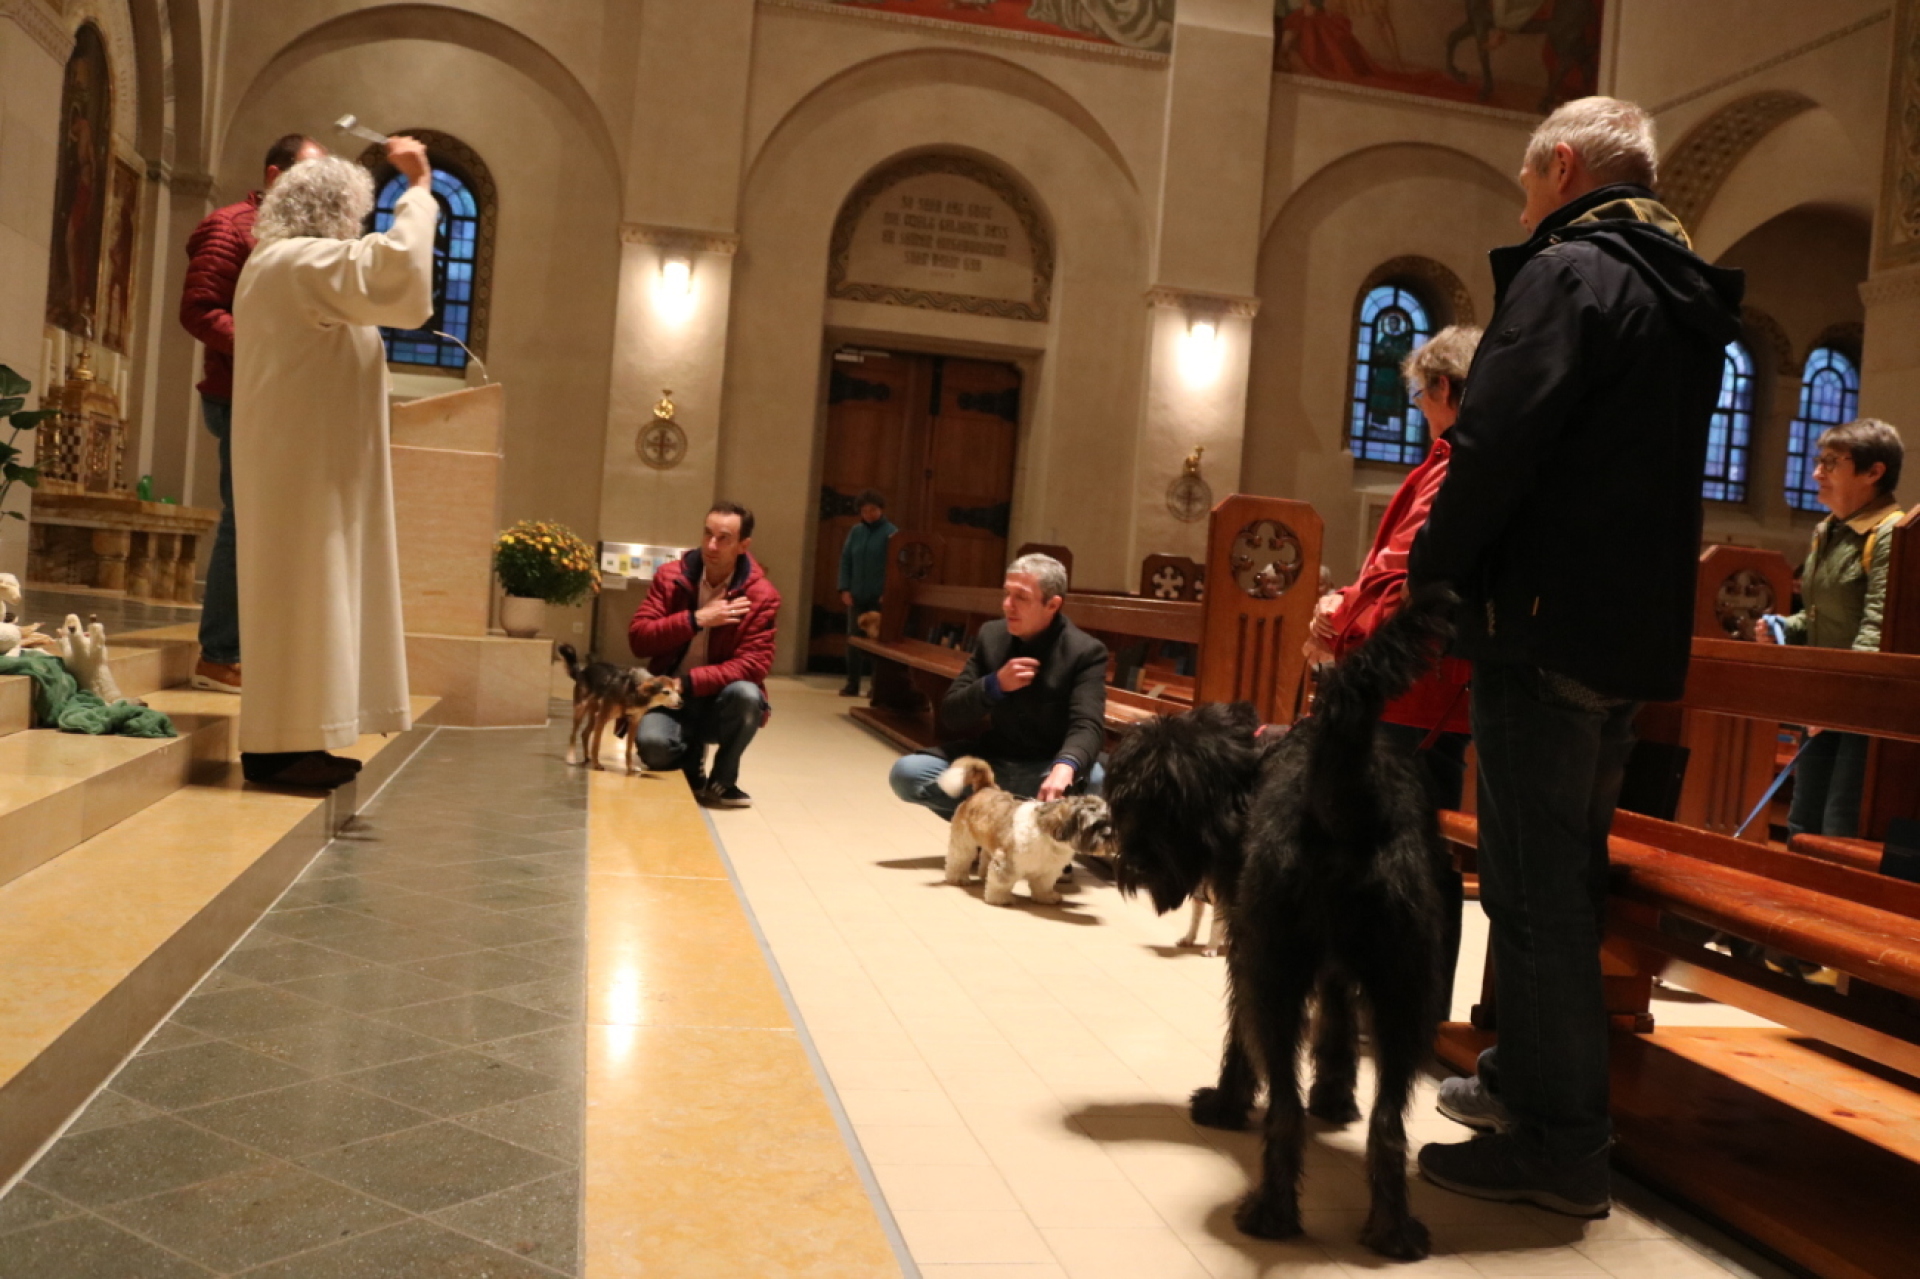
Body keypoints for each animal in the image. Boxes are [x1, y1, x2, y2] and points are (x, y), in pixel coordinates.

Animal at [556, 641, 683, 772]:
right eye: (666, 692)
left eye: (678, 691)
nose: (681, 702)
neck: (634, 690)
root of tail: (582, 672)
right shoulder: (603, 717)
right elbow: (596, 744)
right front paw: (597, 765)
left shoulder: (633, 722)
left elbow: (629, 749)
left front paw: (630, 767)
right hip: (582, 710)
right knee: (573, 734)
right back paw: (571, 757)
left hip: (596, 716)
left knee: (584, 734)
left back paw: (586, 757)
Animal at [940, 756, 1121, 906]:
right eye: (1095, 826)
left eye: (1111, 823)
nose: (1109, 835)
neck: (1051, 841)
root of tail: (987, 787)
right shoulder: (1007, 862)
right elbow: (1001, 882)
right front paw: (1000, 898)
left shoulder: (1048, 871)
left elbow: (1043, 885)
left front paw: (1046, 897)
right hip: (964, 841)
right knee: (959, 858)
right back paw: (958, 877)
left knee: (985, 856)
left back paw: (983, 874)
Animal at [1098, 583, 1451, 1252]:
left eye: (1140, 799)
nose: (1127, 857)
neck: (1253, 766)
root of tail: (1348, 800)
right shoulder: (1338, 972)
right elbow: (1337, 1029)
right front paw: (1335, 1097)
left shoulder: (1248, 949)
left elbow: (1239, 1035)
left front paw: (1227, 1101)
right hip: (1405, 994)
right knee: (1389, 1124)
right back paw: (1393, 1229)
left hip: (1281, 978)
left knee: (1284, 1108)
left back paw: (1271, 1212)